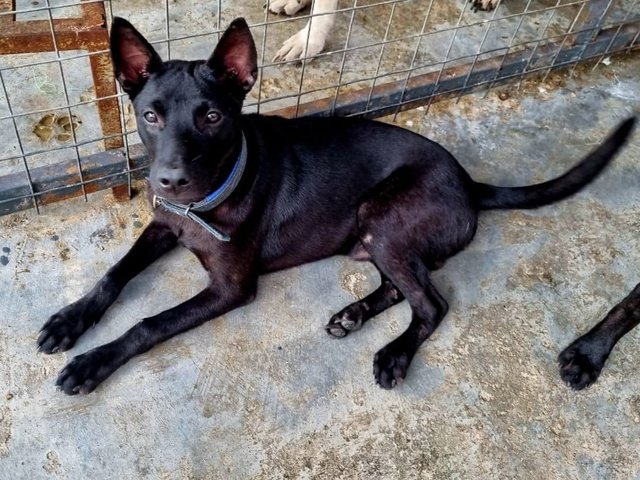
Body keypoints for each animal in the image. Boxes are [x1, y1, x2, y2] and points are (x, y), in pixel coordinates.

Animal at [38, 17, 636, 394]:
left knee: (432, 303)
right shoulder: (162, 226)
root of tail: (469, 183)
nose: (169, 181)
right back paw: (354, 315)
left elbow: (149, 322)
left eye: (211, 117)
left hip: (382, 216)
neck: (205, 202)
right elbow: (114, 274)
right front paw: (71, 320)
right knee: (402, 286)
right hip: (375, 236)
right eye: (150, 115)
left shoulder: (231, 287)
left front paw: (92, 361)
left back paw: (394, 352)